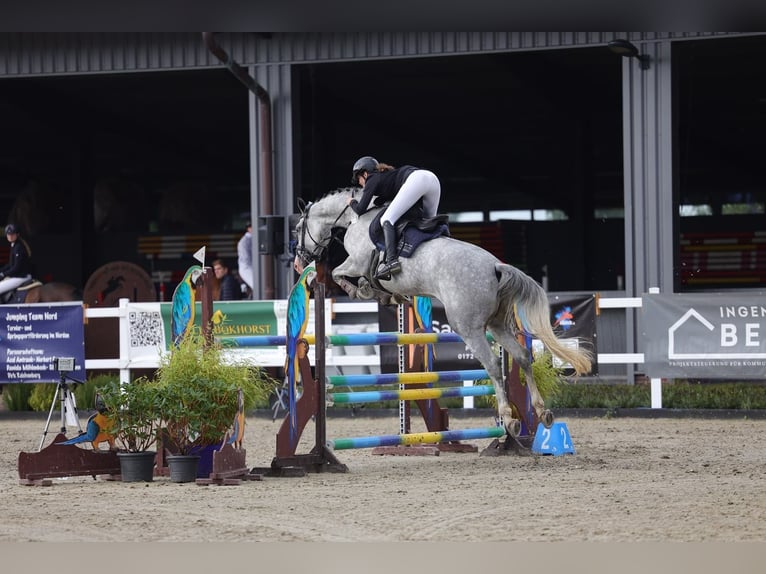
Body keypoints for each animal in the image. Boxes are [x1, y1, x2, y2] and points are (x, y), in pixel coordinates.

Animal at [292, 188, 593, 435]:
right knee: (522, 357)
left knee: (493, 365)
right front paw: (385, 295)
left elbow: (338, 273)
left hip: (468, 327)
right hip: (497, 325)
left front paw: (363, 291)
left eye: (296, 228)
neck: (357, 217)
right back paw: (543, 413)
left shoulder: (356, 262)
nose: (298, 263)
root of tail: (496, 266)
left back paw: (509, 419)